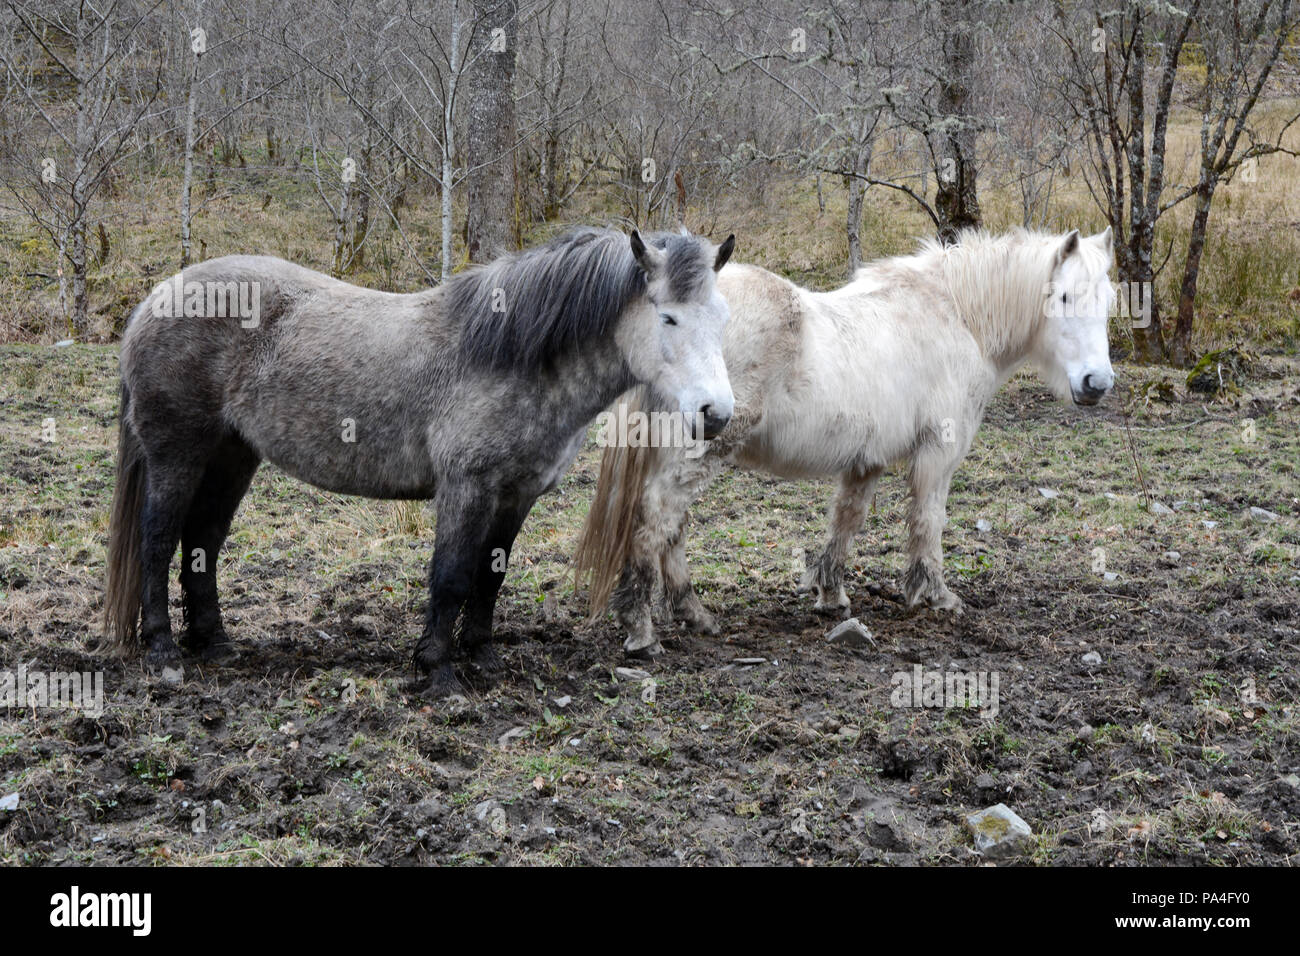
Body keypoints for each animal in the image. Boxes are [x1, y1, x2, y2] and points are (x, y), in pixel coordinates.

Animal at [579, 227, 1118, 655]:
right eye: (1063, 298)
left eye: (1110, 301)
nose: (1097, 383)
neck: (956, 316)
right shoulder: (937, 454)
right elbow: (927, 521)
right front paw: (937, 596)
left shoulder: (866, 461)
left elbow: (847, 522)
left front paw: (832, 596)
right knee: (656, 519)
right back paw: (642, 629)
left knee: (672, 527)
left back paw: (695, 614)